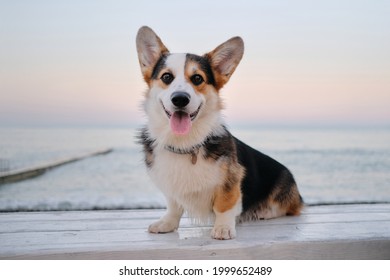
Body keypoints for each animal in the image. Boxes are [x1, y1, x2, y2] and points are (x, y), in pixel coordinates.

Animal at [136, 26, 304, 240]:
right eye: (167, 77)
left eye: (197, 78)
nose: (180, 99)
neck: (185, 143)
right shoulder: (170, 186)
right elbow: (174, 206)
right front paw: (167, 223)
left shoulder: (231, 180)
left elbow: (224, 205)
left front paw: (223, 228)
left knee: (290, 209)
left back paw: (264, 211)